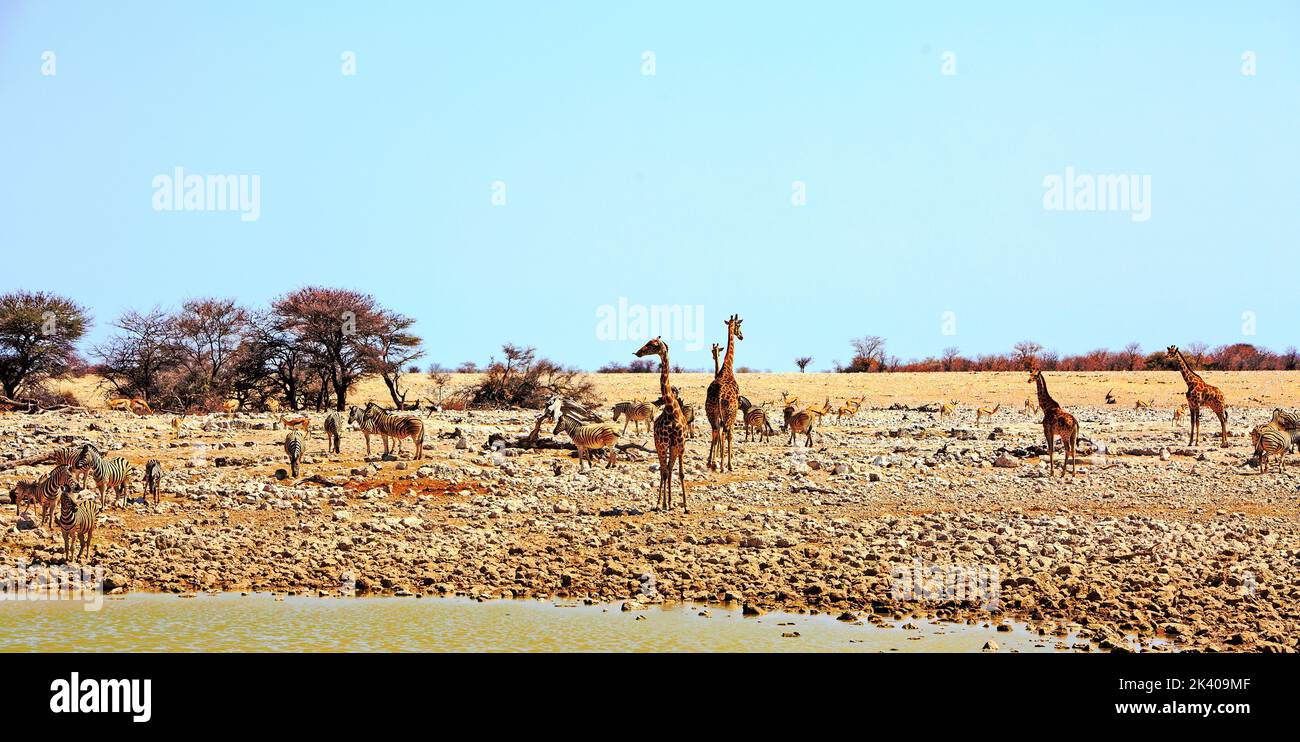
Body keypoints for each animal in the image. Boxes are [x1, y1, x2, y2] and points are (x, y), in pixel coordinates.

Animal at [631, 337, 691, 511]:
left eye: (653, 344)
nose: (637, 352)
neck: (671, 409)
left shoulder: (680, 444)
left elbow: (681, 473)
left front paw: (686, 506)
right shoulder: (664, 443)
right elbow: (663, 472)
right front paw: (660, 503)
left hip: (673, 447)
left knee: (669, 469)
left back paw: (670, 503)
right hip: (659, 445)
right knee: (663, 470)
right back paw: (662, 503)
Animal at [707, 317, 748, 473]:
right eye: (739, 326)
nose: (741, 336)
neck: (727, 367)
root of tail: (719, 394)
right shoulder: (734, 411)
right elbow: (730, 434)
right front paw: (729, 464)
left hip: (711, 412)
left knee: (715, 430)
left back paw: (712, 463)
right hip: (730, 412)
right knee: (725, 432)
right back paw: (724, 466)